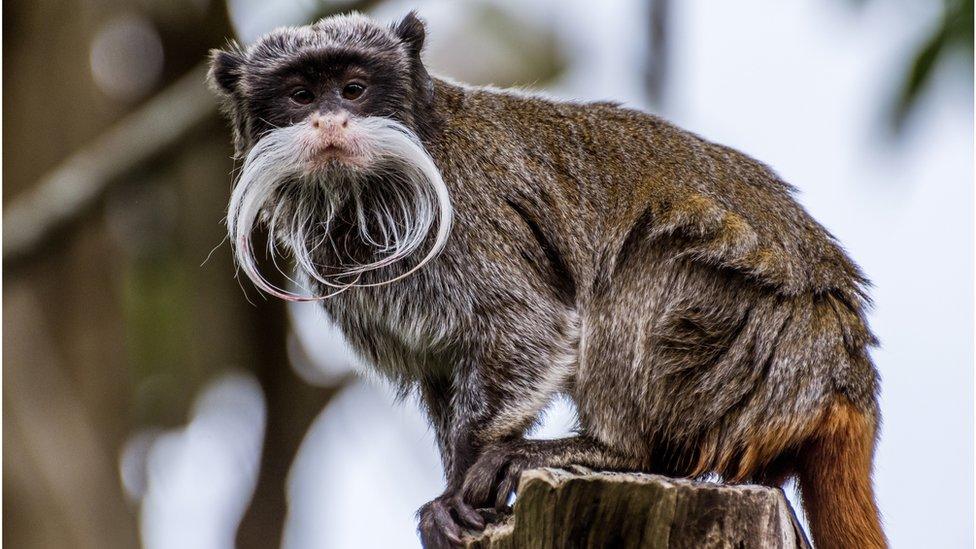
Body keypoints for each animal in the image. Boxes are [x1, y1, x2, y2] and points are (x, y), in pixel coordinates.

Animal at [210, 10, 888, 544]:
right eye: (301, 96)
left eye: (353, 89)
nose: (330, 122)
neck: (366, 199)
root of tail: (845, 380)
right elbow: (441, 370)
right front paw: (450, 492)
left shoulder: (470, 223)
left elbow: (529, 325)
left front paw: (462, 486)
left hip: (758, 347)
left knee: (644, 263)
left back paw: (609, 451)